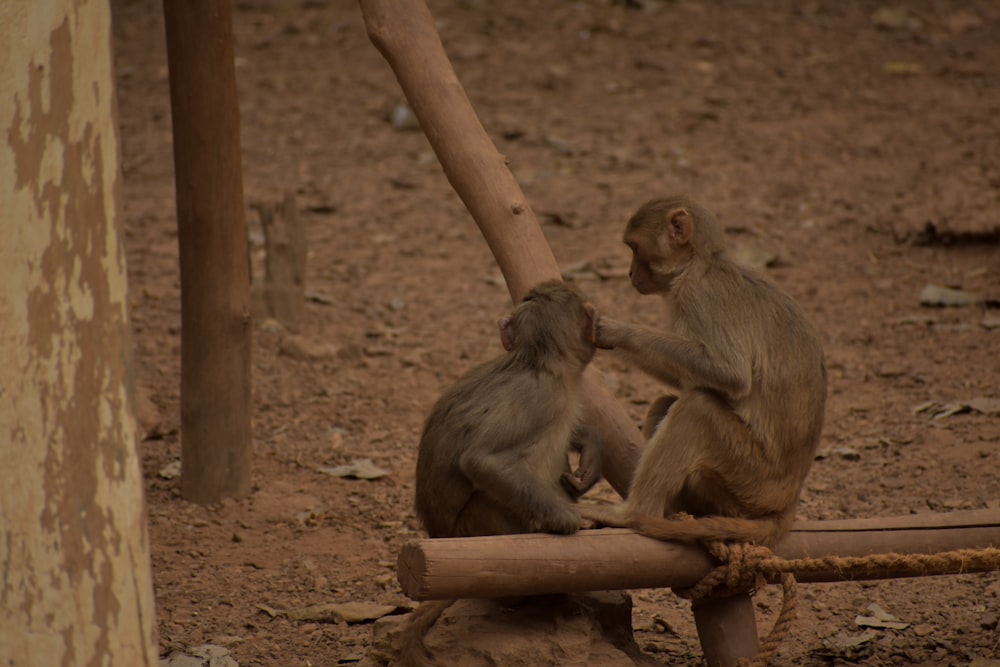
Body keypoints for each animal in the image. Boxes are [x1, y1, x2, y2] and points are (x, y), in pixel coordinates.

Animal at [398, 282, 600, 667]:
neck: (536, 360)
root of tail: (441, 536)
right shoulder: (544, 398)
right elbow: (483, 461)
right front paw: (567, 521)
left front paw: (589, 456)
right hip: (476, 528)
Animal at [584, 196, 824, 552]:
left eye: (634, 247)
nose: (628, 273)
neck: (700, 264)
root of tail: (786, 502)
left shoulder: (698, 295)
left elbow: (728, 373)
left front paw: (614, 330)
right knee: (669, 403)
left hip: (747, 479)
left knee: (696, 408)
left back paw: (634, 512)